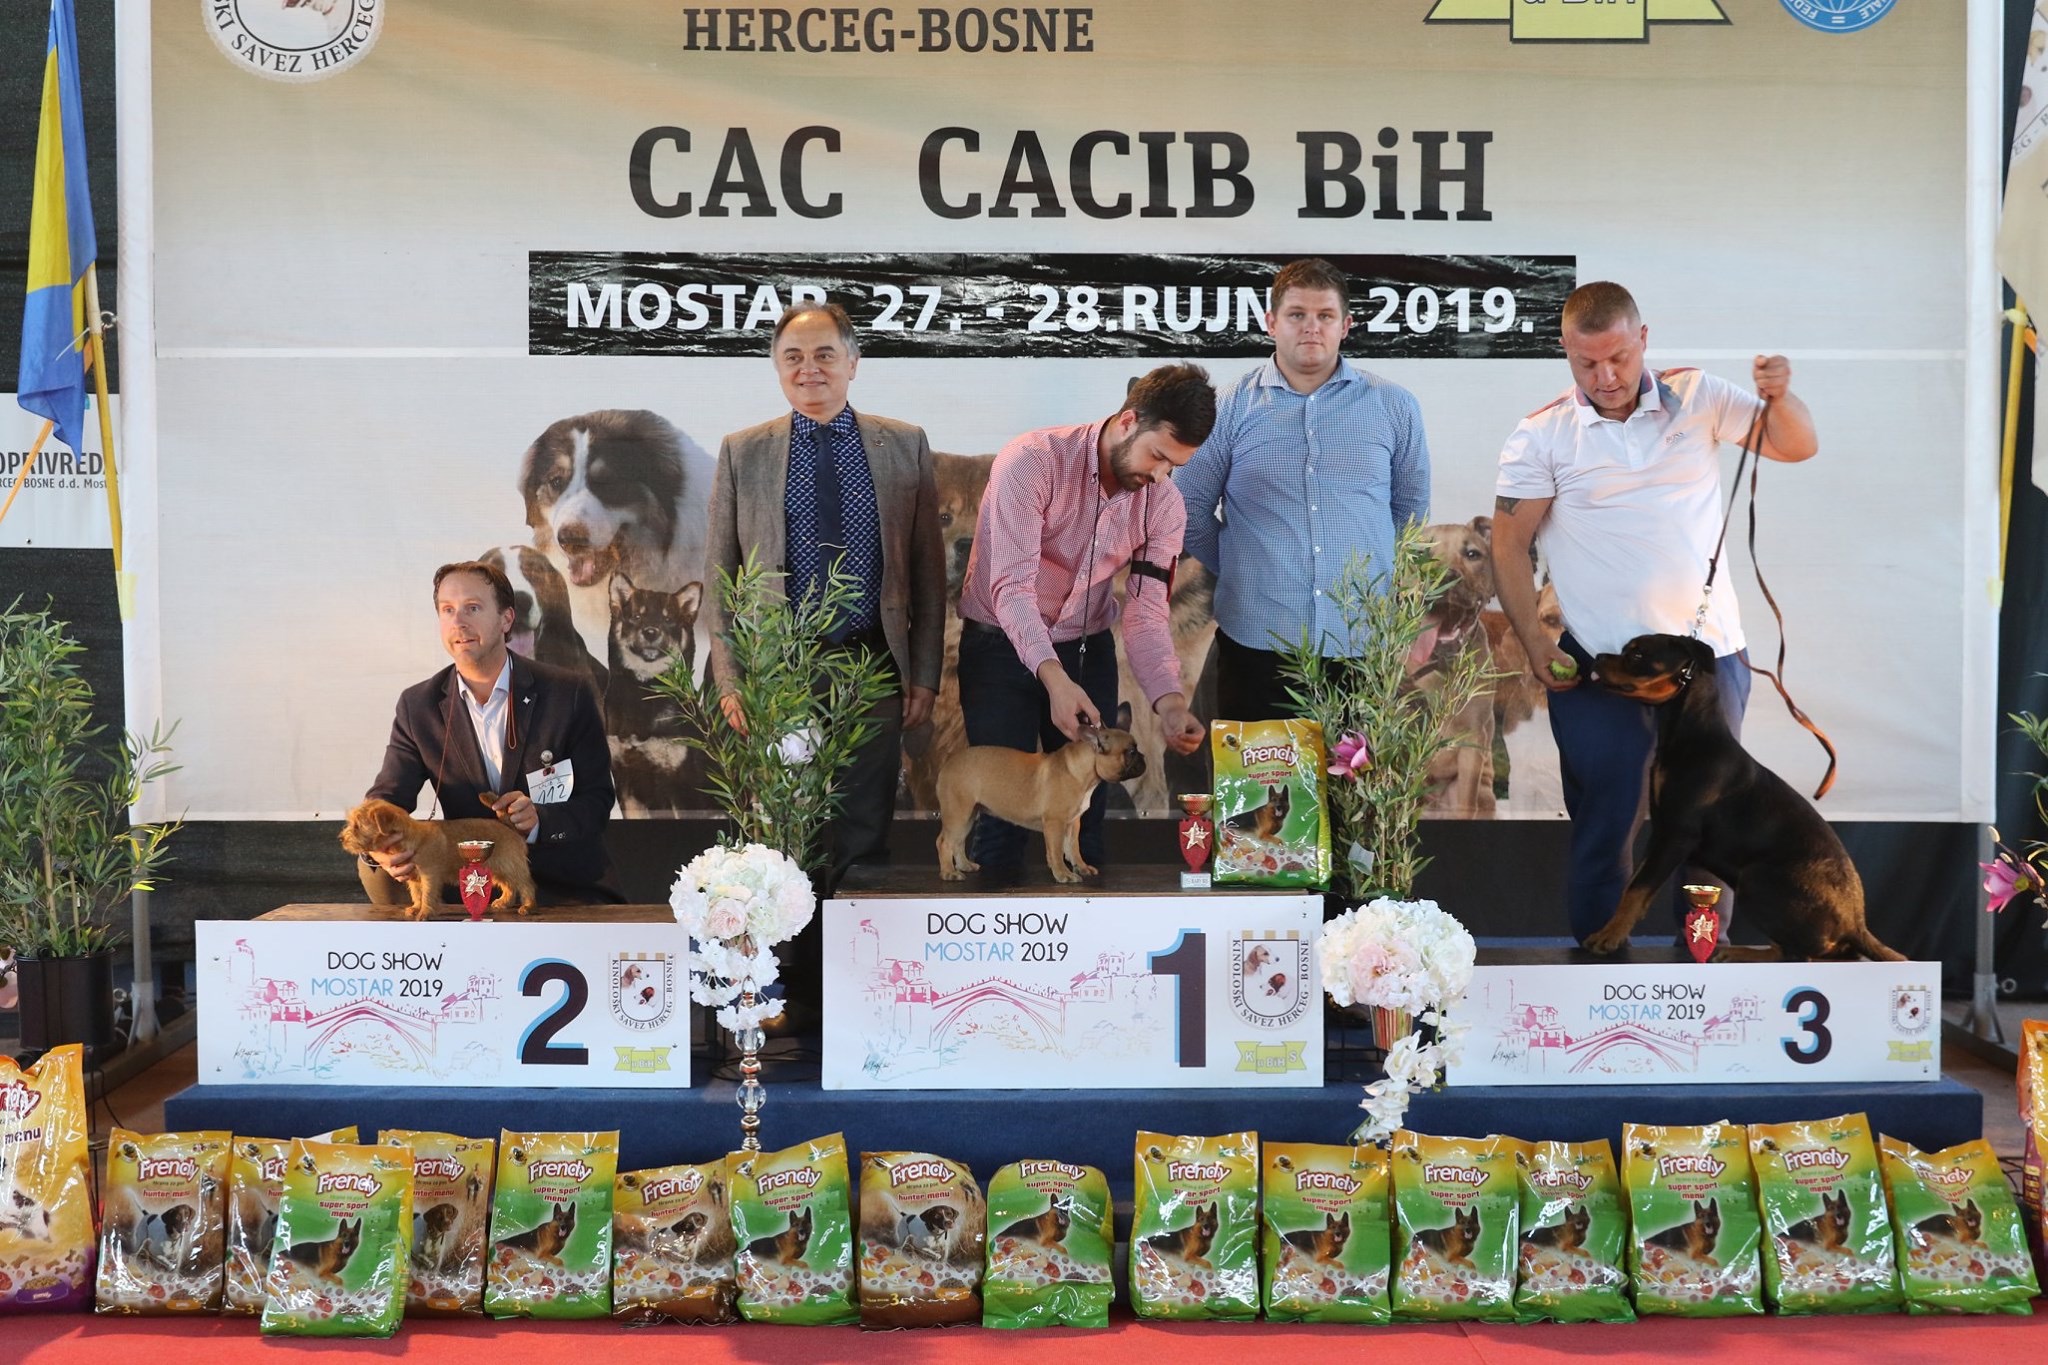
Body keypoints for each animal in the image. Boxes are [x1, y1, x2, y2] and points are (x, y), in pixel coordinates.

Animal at [339, 798, 537, 920]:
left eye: (357, 826)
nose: (341, 838)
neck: (411, 838)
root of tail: (508, 826)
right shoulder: (414, 878)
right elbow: (417, 894)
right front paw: (416, 907)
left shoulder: (429, 875)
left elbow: (427, 894)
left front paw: (425, 912)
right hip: (497, 868)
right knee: (509, 887)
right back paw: (503, 902)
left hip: (510, 865)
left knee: (526, 885)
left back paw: (528, 906)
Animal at [935, 727, 1146, 884]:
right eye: (1131, 751)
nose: (1143, 758)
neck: (1084, 771)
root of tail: (947, 764)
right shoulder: (1055, 823)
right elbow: (1056, 851)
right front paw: (1063, 874)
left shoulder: (1073, 823)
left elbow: (1073, 847)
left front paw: (1081, 867)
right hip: (958, 813)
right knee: (945, 842)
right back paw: (949, 873)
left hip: (968, 815)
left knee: (958, 842)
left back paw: (965, 866)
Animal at [1583, 633, 1903, 962]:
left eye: (1637, 655)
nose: (1598, 657)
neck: (1691, 736)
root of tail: (1856, 924)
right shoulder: (1660, 832)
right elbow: (1632, 885)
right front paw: (1612, 930)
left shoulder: (1677, 834)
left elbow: (1638, 889)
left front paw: (1608, 937)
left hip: (1755, 879)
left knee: (1797, 954)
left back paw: (1737, 953)